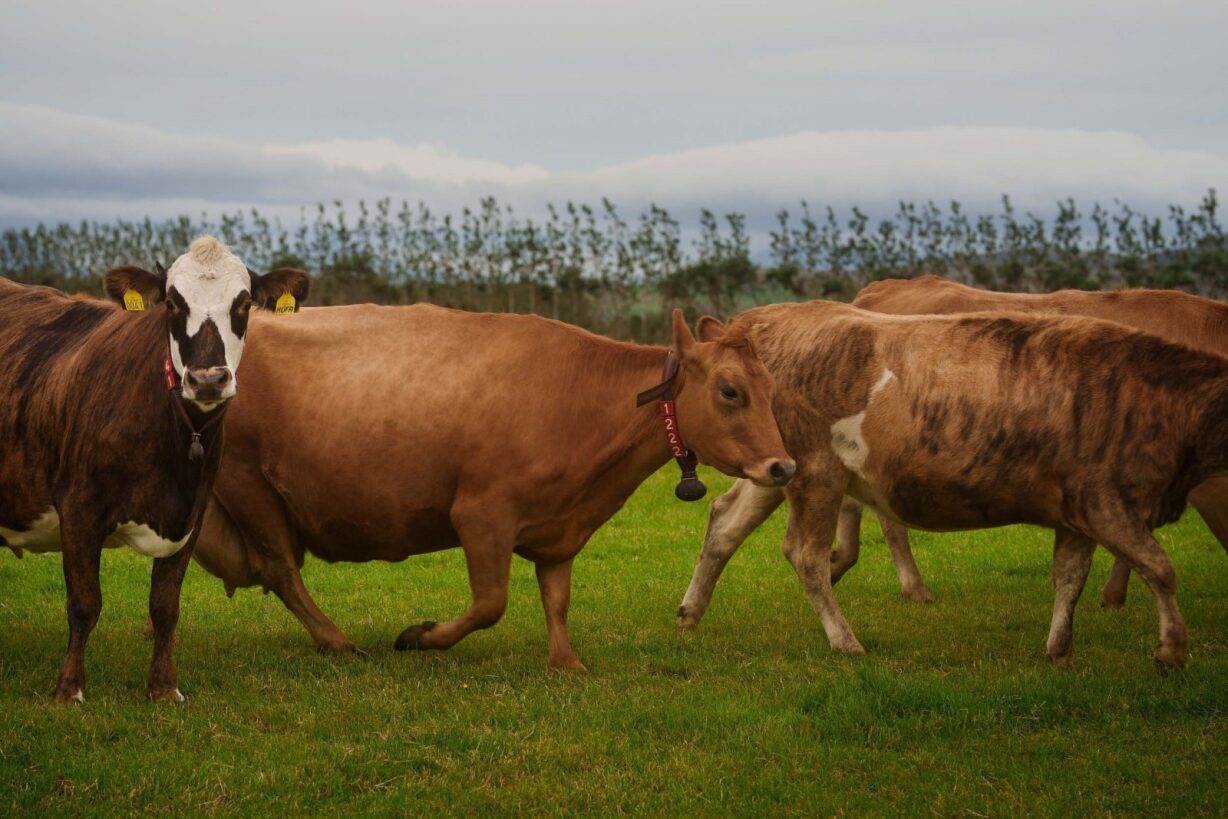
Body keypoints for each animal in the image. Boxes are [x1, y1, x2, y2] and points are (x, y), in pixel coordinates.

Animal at [0, 236, 307, 707]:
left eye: (243, 304)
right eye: (173, 303)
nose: (207, 379)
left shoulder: (191, 514)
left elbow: (165, 605)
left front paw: (163, 686)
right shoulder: (79, 508)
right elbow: (84, 603)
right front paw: (69, 688)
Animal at [179, 304, 795, 667]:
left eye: (771, 387)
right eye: (730, 391)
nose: (783, 468)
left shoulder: (561, 528)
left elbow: (557, 599)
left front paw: (566, 663)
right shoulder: (481, 515)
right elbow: (490, 604)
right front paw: (420, 636)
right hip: (247, 482)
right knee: (282, 569)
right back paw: (337, 642)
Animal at [677, 298, 1228, 667]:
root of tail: (759, 319)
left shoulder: (1074, 513)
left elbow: (1070, 577)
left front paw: (1059, 650)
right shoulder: (1105, 502)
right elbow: (1159, 568)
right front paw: (1172, 650)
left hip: (774, 469)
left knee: (724, 524)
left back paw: (690, 614)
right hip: (817, 473)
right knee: (804, 555)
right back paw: (845, 640)